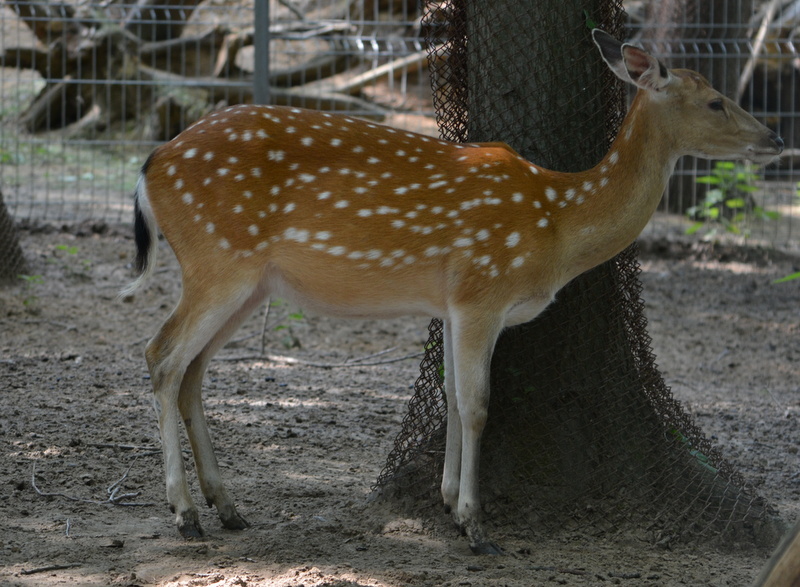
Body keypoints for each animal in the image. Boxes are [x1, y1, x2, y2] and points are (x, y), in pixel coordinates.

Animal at [123, 31, 780, 556]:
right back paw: (184, 514)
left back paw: (228, 508)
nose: (774, 137)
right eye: (715, 100)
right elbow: (479, 403)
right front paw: (475, 525)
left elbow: (454, 396)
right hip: (218, 261)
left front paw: (445, 502)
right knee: (161, 355)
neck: (558, 224)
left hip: (250, 284)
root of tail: (150, 165)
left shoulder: (459, 306)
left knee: (193, 370)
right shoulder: (480, 289)